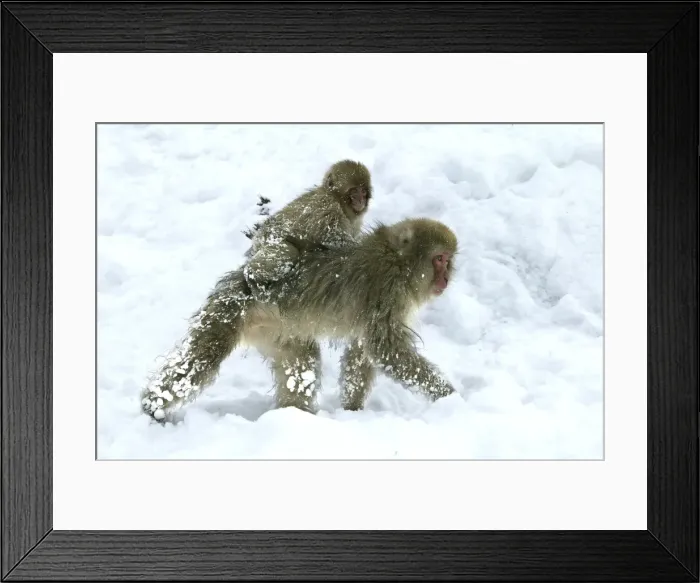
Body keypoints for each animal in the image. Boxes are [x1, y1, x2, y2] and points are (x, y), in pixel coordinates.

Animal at [140, 217, 457, 422]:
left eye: (448, 260)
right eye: (439, 259)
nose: (446, 278)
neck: (399, 262)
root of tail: (241, 278)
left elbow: (361, 351)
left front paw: (352, 410)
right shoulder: (386, 291)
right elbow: (386, 349)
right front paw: (449, 396)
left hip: (276, 331)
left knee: (302, 365)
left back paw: (296, 418)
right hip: (228, 312)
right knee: (199, 362)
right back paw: (152, 408)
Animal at [242, 159, 372, 303]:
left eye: (363, 191)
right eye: (354, 191)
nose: (360, 200)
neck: (337, 199)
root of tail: (255, 241)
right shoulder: (326, 206)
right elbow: (332, 236)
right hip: (267, 240)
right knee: (289, 251)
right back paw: (251, 276)